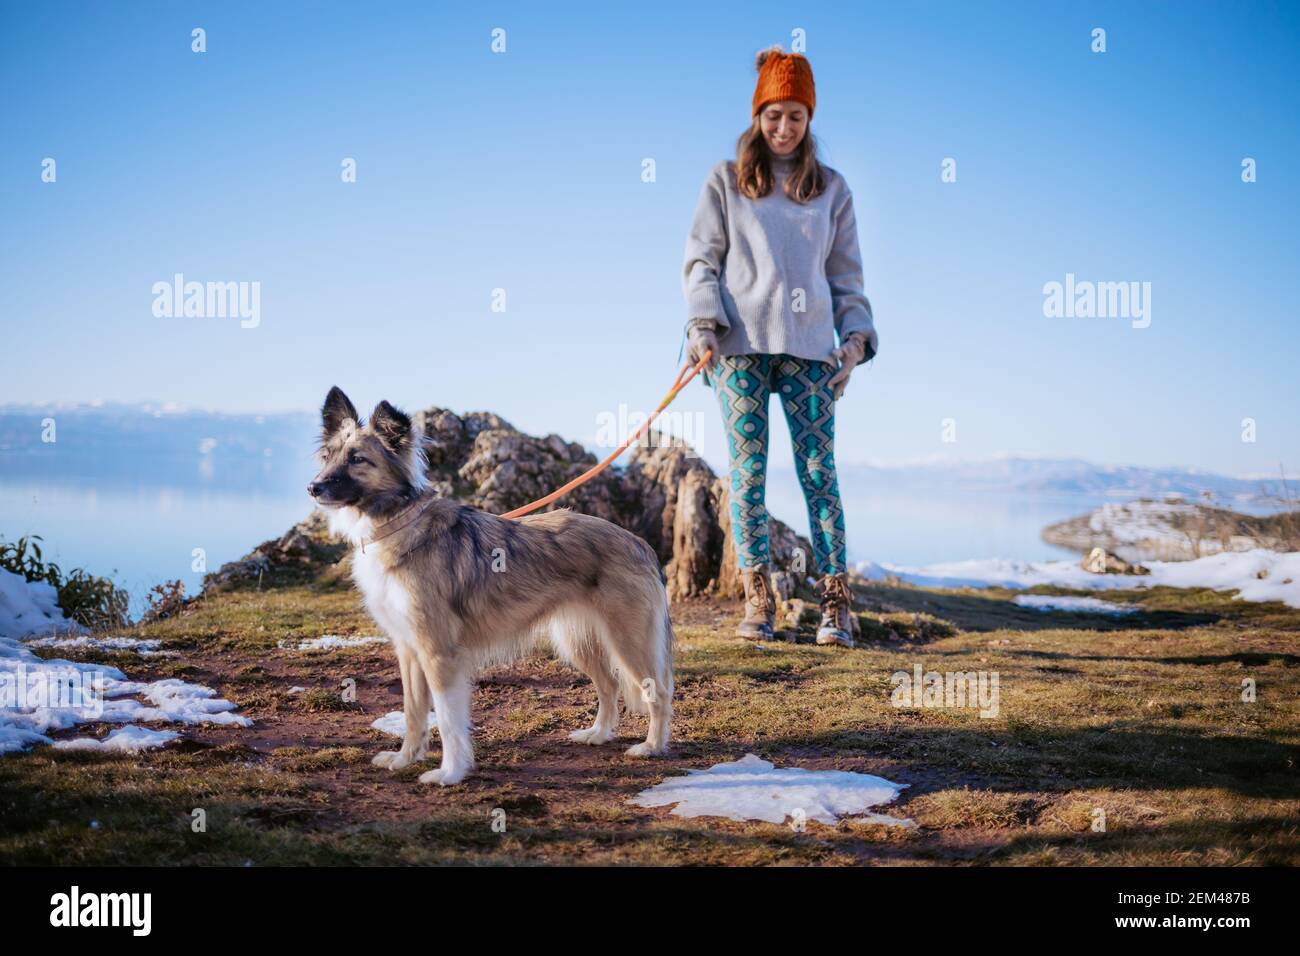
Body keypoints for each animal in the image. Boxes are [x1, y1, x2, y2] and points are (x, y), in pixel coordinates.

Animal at [304, 387, 670, 785]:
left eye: (357, 458)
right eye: (327, 456)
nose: (313, 487)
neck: (398, 522)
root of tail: (639, 542)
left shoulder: (438, 652)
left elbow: (448, 720)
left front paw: (449, 773)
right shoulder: (409, 649)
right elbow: (413, 712)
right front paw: (404, 759)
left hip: (628, 641)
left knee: (658, 691)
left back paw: (652, 747)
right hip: (578, 640)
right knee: (609, 685)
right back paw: (599, 734)